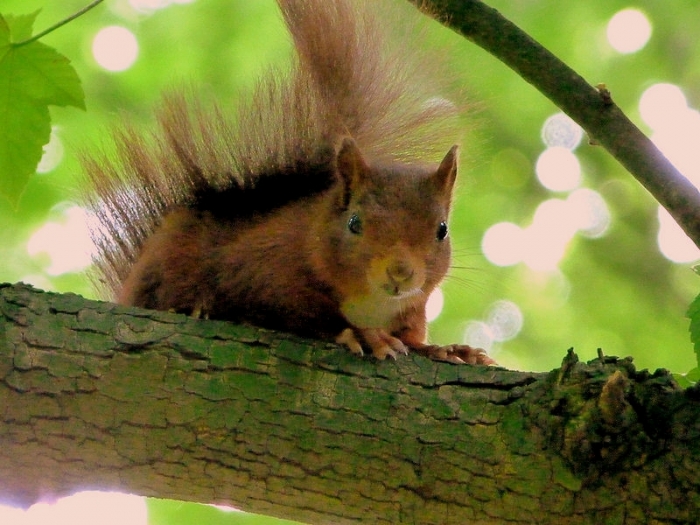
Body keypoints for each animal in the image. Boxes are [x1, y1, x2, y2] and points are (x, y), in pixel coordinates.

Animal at [83, 0, 494, 365]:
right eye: (354, 223)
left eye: (442, 230)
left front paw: (447, 349)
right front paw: (362, 334)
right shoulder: (263, 271)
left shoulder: (411, 310)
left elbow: (413, 338)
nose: (400, 272)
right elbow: (293, 312)